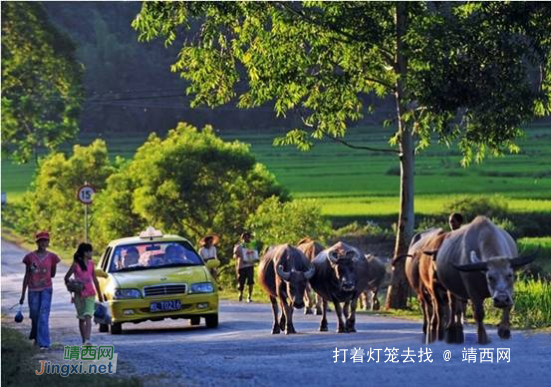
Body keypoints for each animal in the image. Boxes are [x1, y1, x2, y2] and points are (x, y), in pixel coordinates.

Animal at [438, 215, 536, 346]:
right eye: (490, 277)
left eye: (510, 275)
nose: (501, 299)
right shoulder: (473, 292)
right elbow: (479, 313)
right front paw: (483, 338)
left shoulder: (509, 291)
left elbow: (508, 306)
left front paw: (504, 330)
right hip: (450, 289)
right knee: (453, 306)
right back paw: (452, 332)